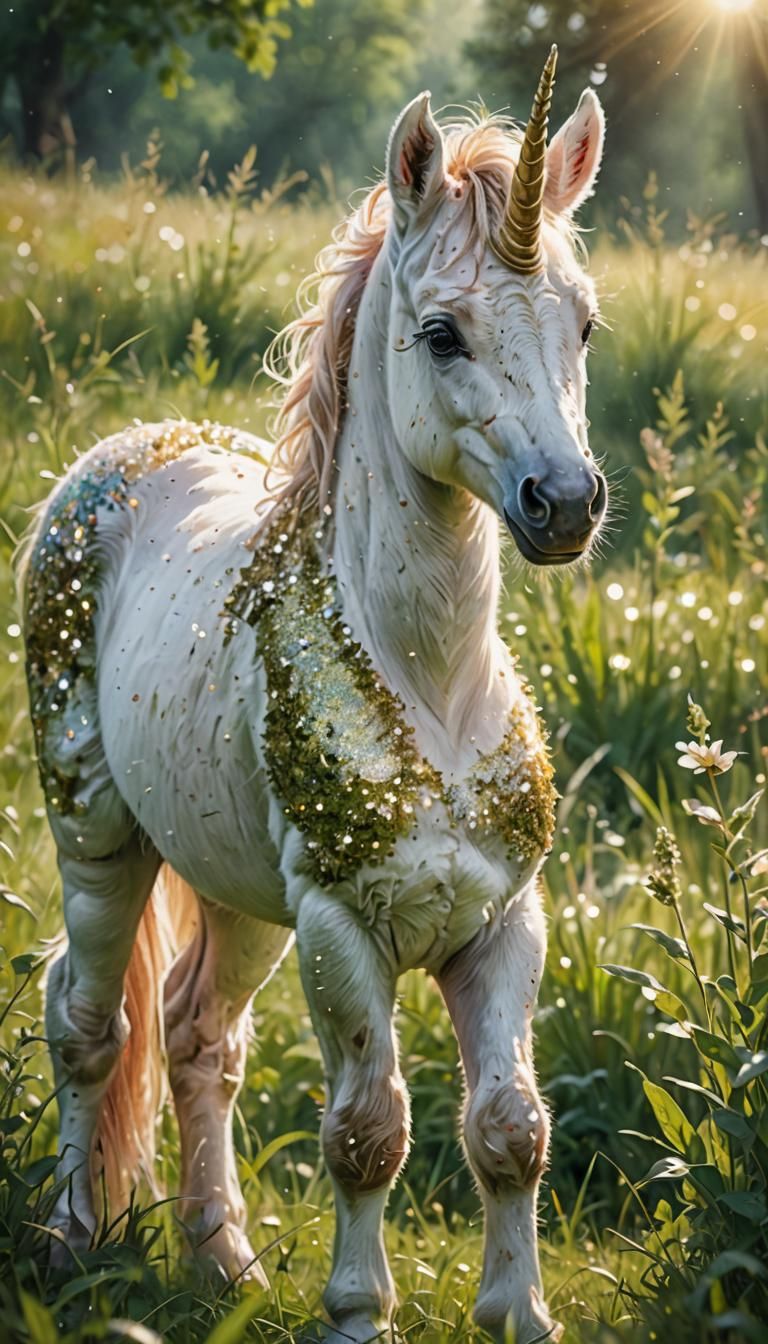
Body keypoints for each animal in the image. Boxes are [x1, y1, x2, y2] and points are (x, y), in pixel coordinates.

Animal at [22, 45, 607, 1344]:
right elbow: (366, 1133)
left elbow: (510, 1128)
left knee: (198, 1037)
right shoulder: (343, 927)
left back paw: (222, 1259)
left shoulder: (506, 924)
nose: (564, 503)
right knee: (91, 1023)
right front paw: (354, 1312)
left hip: (235, 887)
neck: (432, 691)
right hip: (99, 839)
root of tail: (121, 455)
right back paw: (76, 1237)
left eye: (584, 322)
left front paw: (520, 1313)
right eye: (440, 333)